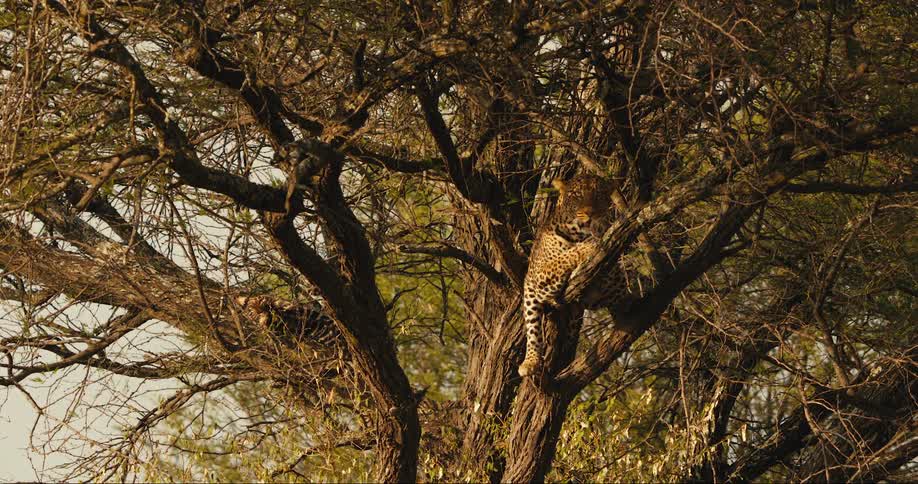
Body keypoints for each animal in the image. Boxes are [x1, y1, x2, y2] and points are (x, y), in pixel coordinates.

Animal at [518, 175, 633, 378]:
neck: (578, 234)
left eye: (599, 194)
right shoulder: (539, 273)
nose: (590, 213)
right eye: (577, 196)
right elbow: (566, 256)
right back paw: (530, 362)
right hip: (530, 294)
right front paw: (590, 245)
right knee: (533, 330)